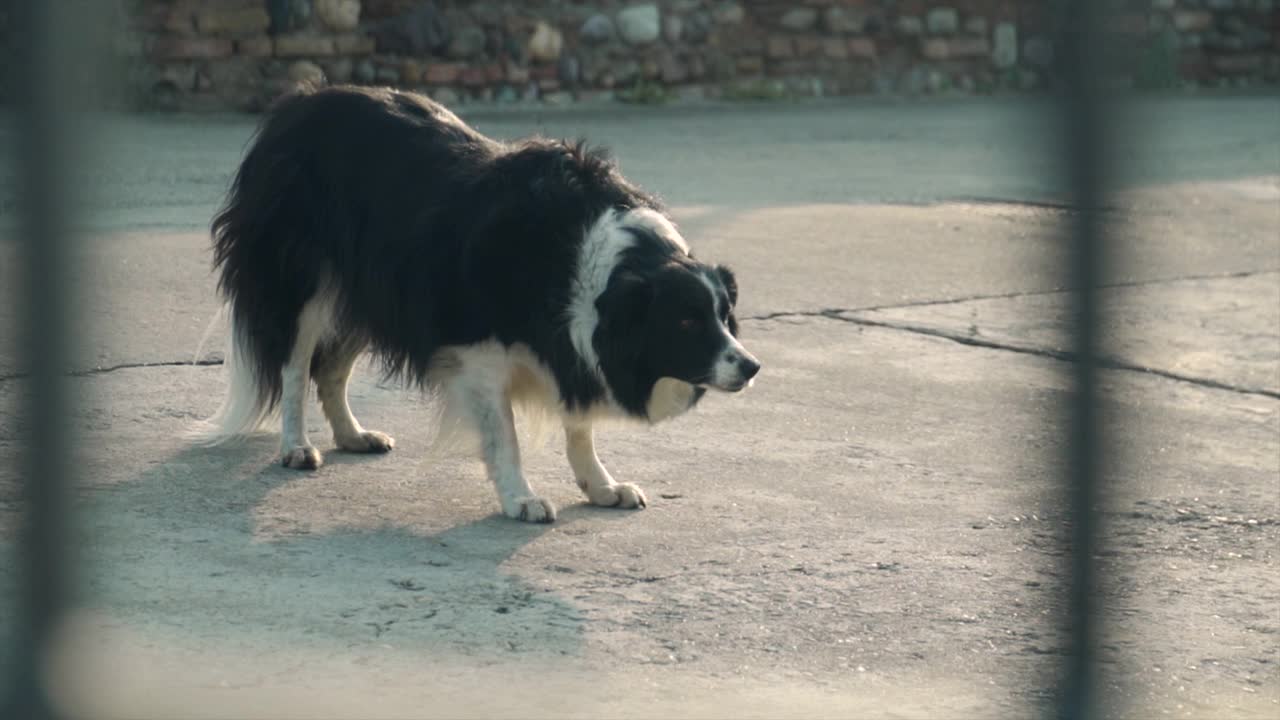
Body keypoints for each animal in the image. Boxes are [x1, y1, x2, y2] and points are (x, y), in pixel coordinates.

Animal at [197, 85, 757, 520]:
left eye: (725, 316)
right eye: (685, 322)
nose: (751, 367)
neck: (598, 263)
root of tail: (296, 105)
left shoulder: (569, 345)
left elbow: (579, 423)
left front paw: (601, 486)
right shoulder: (478, 349)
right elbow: (503, 431)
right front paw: (521, 499)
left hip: (374, 289)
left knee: (331, 369)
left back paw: (354, 436)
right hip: (304, 278)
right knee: (295, 365)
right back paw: (296, 447)